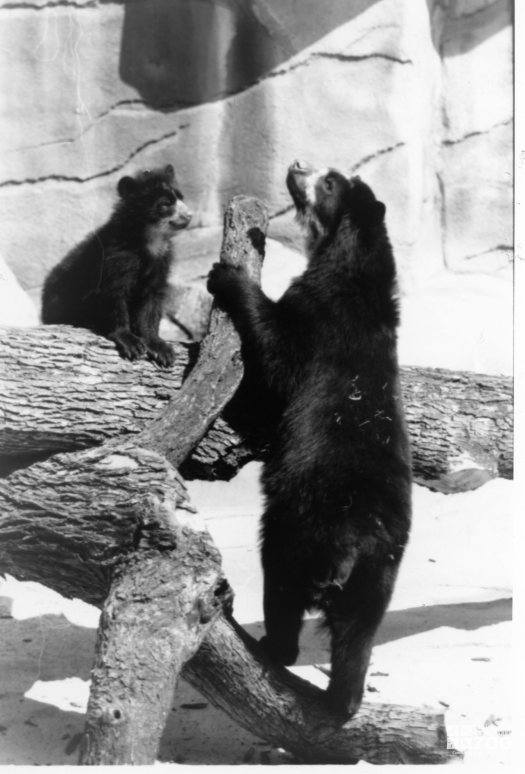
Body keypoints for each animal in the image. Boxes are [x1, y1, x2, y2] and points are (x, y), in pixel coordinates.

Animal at [207, 161, 412, 720]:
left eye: (329, 182)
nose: (296, 165)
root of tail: (355, 544)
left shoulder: (319, 318)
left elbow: (276, 352)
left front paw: (224, 276)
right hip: (380, 577)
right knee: (356, 639)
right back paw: (344, 699)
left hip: (295, 529)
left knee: (279, 583)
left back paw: (271, 646)